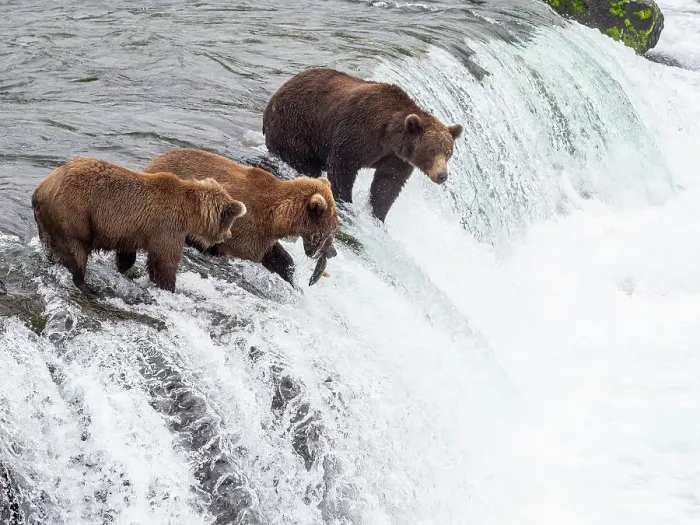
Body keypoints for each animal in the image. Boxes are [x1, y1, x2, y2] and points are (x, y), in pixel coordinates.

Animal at [31, 157, 246, 292]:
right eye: (230, 221)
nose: (229, 235)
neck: (189, 212)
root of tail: (41, 187)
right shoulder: (167, 227)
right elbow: (164, 261)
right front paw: (168, 286)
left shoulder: (131, 229)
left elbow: (127, 254)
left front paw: (125, 269)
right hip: (74, 213)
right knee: (76, 250)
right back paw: (86, 285)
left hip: (48, 222)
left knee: (53, 247)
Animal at [141, 148, 339, 285]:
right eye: (329, 231)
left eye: (334, 228)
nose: (333, 252)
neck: (276, 218)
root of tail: (153, 162)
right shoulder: (244, 228)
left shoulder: (263, 236)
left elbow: (277, 257)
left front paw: (290, 276)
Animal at [262, 67, 464, 222]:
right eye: (432, 150)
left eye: (448, 153)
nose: (442, 176)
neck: (389, 136)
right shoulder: (358, 133)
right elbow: (342, 165)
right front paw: (344, 200)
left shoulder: (396, 158)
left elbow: (388, 184)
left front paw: (378, 215)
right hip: (296, 129)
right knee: (303, 163)